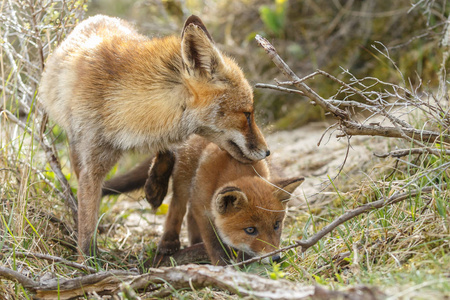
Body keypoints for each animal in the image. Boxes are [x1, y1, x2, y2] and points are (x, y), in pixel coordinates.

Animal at [38, 14, 268, 255]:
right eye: (247, 114)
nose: (267, 151)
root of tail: (98, 16)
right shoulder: (91, 163)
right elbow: (87, 222)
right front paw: (87, 260)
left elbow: (169, 151)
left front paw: (155, 188)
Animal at [103, 136, 304, 264]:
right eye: (250, 230)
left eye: (276, 225)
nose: (276, 258)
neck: (236, 168)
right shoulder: (204, 210)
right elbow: (214, 244)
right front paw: (224, 266)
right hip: (183, 180)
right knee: (177, 209)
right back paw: (170, 241)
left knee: (189, 216)